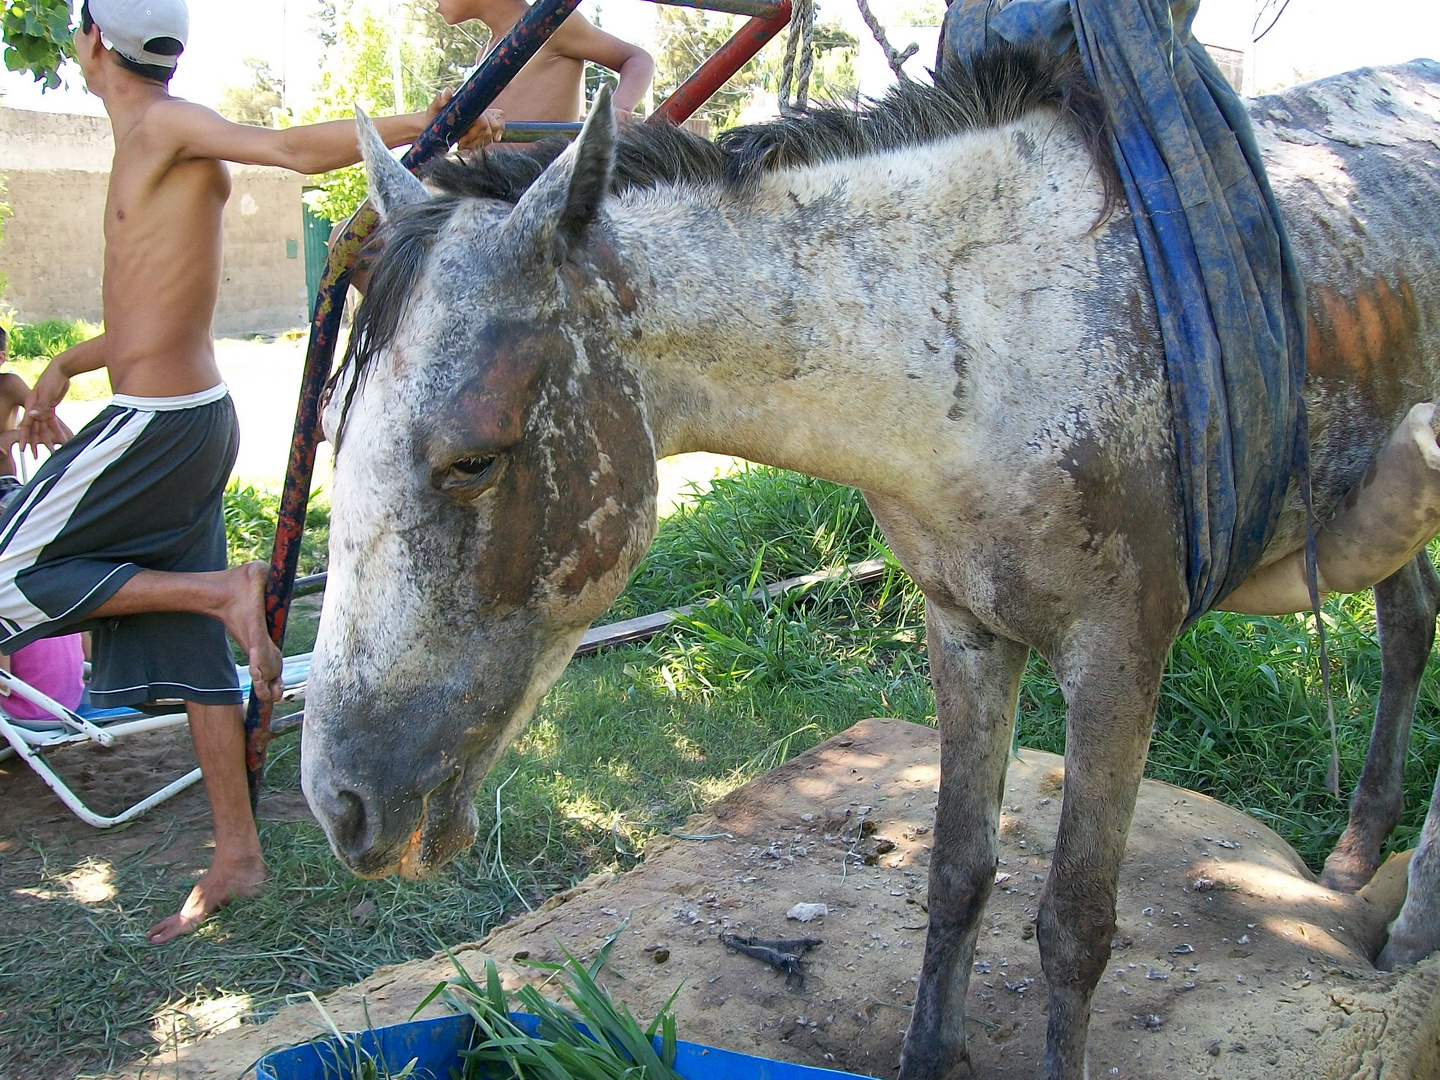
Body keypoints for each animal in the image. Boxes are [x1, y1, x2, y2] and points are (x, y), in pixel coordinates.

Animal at [300, 48, 1440, 1080]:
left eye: (474, 461)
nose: (340, 806)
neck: (990, 341)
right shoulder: (964, 627)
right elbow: (957, 872)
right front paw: (931, 1053)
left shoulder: (1121, 656)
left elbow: (1075, 927)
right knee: (1408, 622)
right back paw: (1356, 850)